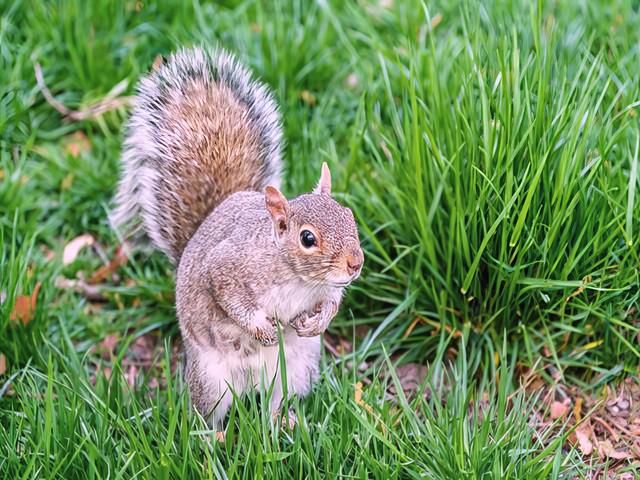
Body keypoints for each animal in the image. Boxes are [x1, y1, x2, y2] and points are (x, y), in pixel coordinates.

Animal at [111, 46, 364, 428]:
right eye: (308, 239)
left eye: (349, 216)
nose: (355, 264)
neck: (298, 280)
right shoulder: (228, 266)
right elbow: (229, 298)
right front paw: (261, 330)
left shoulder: (327, 289)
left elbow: (332, 303)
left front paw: (316, 322)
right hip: (210, 380)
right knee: (207, 415)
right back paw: (211, 437)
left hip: (295, 371)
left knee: (276, 402)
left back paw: (283, 422)